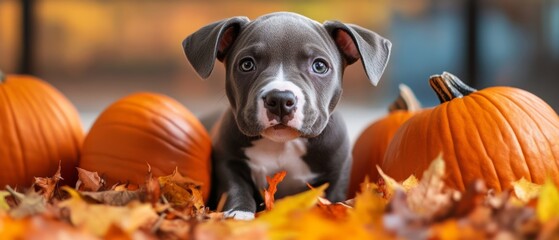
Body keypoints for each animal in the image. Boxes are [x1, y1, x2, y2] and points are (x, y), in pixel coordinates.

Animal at [183, 12, 390, 220]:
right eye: (247, 64)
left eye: (319, 66)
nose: (280, 99)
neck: (281, 144)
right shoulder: (227, 160)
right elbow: (235, 187)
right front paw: (239, 213)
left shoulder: (338, 169)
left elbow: (332, 198)